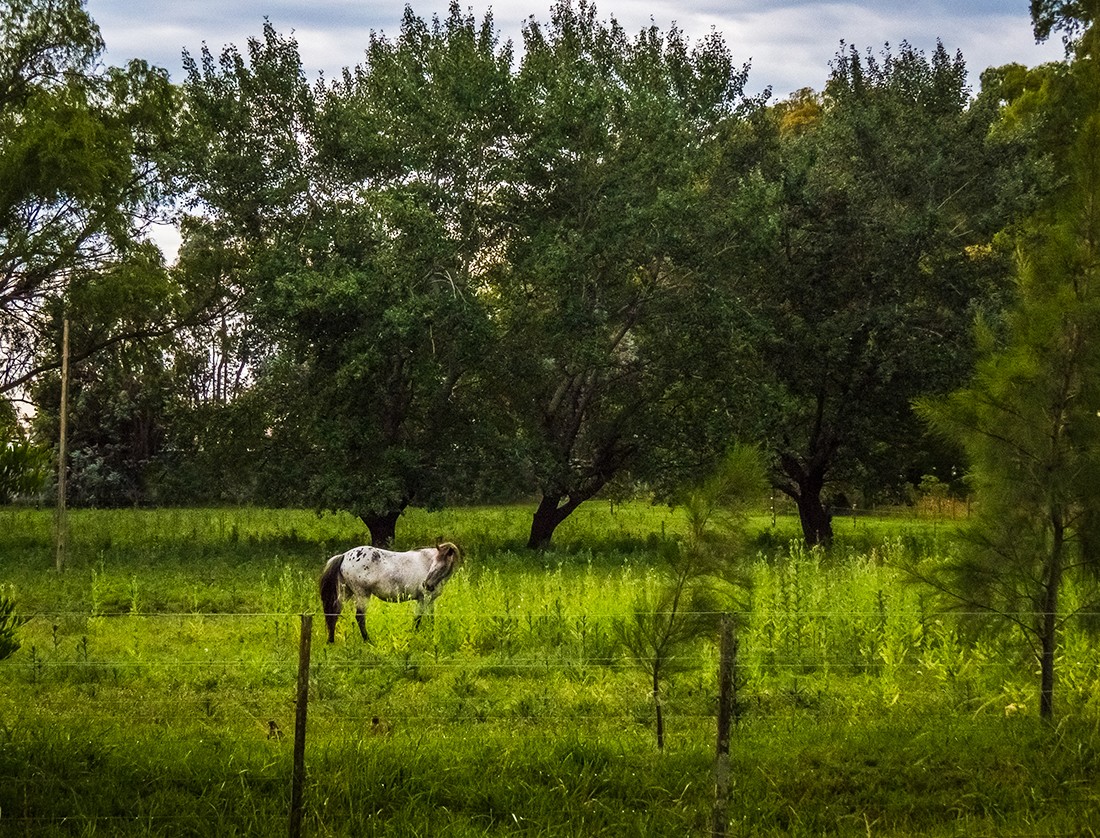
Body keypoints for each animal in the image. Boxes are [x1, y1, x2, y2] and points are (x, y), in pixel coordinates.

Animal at [319, 538, 459, 642]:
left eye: (442, 566)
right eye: (434, 563)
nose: (427, 585)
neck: (426, 563)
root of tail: (344, 555)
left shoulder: (430, 601)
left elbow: (431, 619)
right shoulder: (423, 599)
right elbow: (417, 619)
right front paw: (413, 636)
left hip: (346, 592)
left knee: (334, 613)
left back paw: (331, 641)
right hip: (362, 594)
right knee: (359, 617)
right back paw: (368, 641)